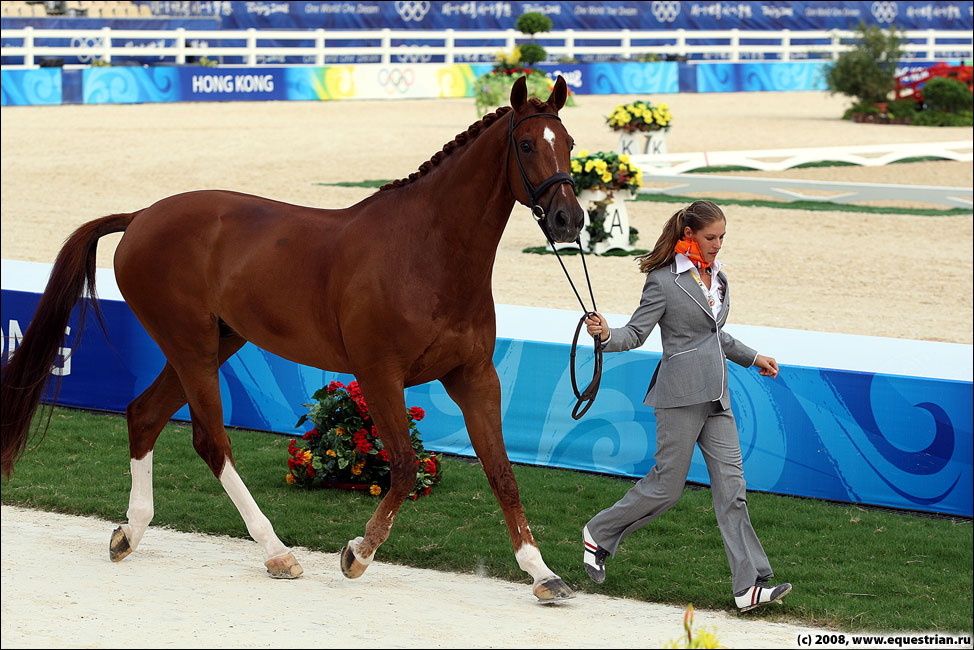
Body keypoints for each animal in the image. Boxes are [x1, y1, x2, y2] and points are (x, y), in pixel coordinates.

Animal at [1, 78, 588, 600]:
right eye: (528, 144)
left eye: (571, 143)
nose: (568, 219)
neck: (428, 252)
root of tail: (142, 215)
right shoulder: (380, 374)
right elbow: (402, 467)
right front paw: (358, 554)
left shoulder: (473, 376)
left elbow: (503, 473)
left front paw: (542, 574)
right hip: (191, 347)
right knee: (211, 441)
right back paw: (277, 552)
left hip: (216, 343)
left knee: (144, 415)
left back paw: (131, 531)